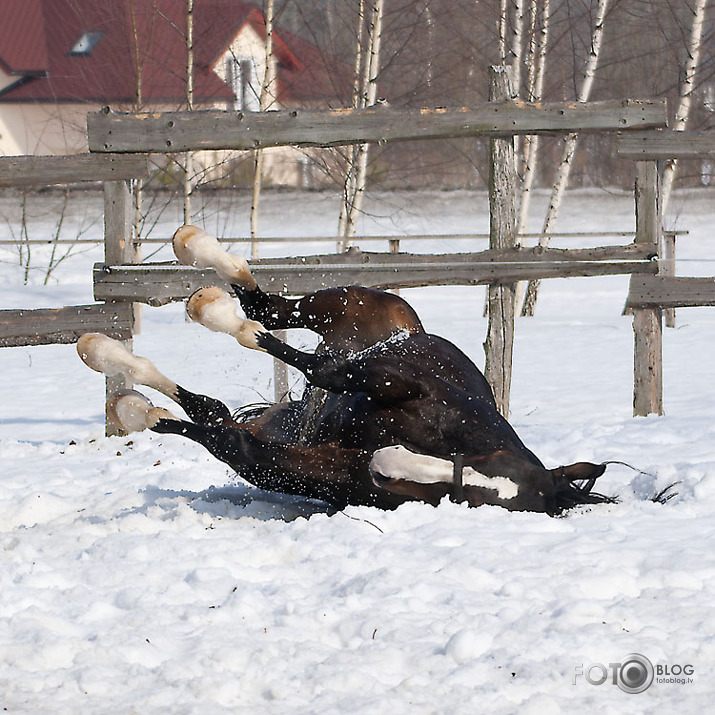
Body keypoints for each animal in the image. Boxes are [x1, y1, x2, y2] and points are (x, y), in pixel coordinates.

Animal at [79, 227, 616, 512]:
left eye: (466, 498)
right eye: (490, 466)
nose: (387, 466)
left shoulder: (283, 465)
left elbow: (217, 435)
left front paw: (141, 410)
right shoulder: (400, 382)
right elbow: (323, 369)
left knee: (212, 407)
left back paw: (116, 375)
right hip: (353, 305)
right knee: (268, 308)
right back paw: (197, 262)